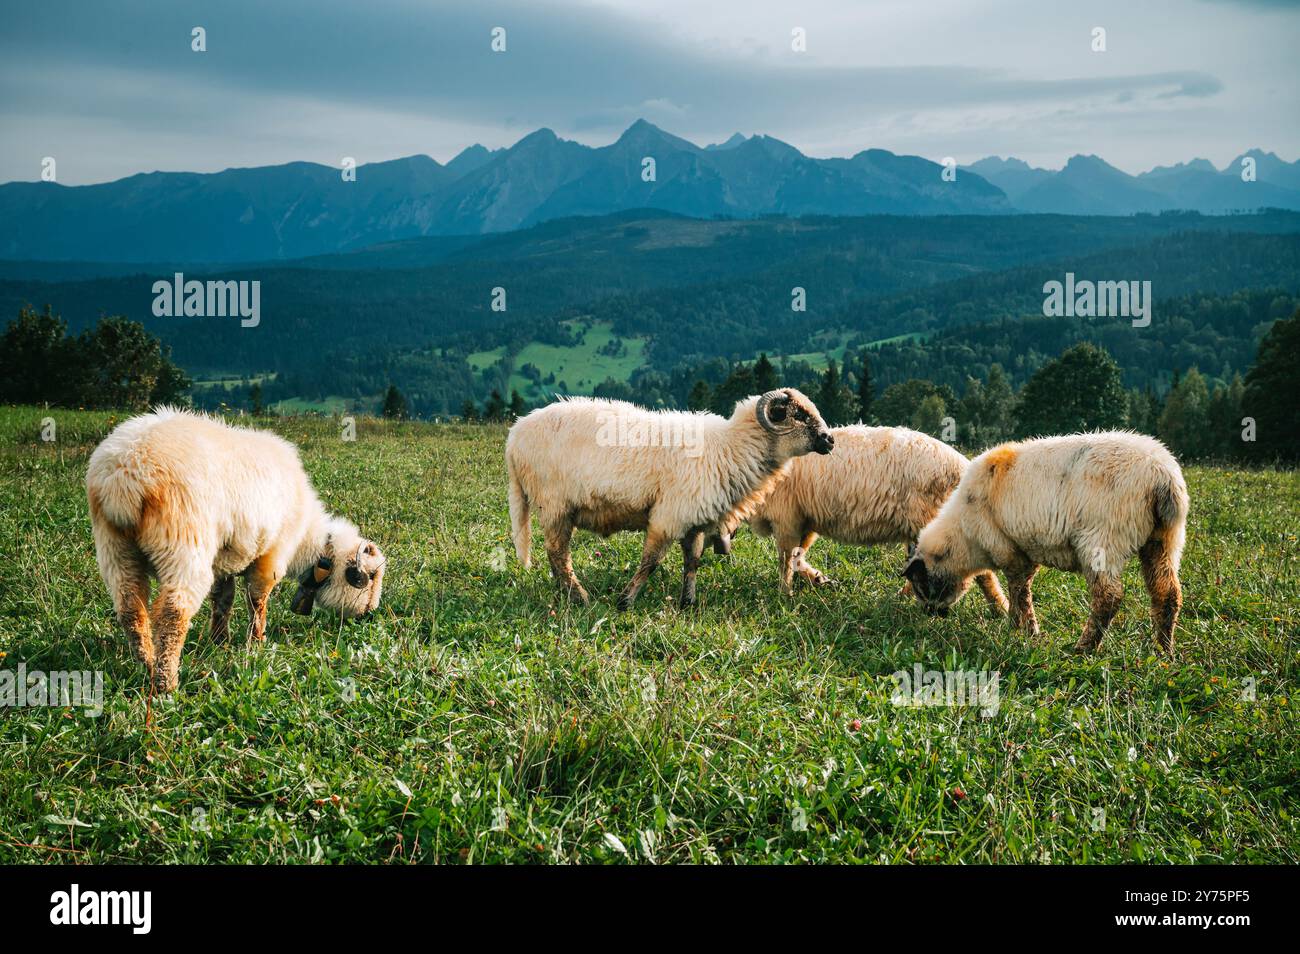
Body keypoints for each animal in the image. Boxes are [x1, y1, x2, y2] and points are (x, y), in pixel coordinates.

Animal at [87, 410, 384, 696]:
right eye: (367, 578)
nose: (369, 615)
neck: (309, 542)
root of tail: (126, 472)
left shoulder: (225, 559)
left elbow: (223, 599)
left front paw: (220, 641)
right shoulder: (271, 556)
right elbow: (258, 601)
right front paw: (256, 643)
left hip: (115, 548)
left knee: (130, 608)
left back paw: (147, 664)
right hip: (183, 545)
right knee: (174, 613)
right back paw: (165, 682)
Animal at [506, 389, 832, 608]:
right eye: (799, 414)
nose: (829, 440)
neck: (730, 448)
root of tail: (515, 434)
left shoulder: (695, 519)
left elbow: (692, 561)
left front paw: (688, 602)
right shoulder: (669, 515)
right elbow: (650, 562)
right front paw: (626, 601)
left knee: (555, 555)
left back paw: (566, 594)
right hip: (555, 504)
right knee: (558, 553)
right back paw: (579, 597)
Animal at [738, 428, 1008, 608]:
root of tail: (964, 467)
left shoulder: (787, 519)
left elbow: (786, 560)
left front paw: (784, 594)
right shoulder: (805, 518)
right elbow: (797, 556)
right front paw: (819, 579)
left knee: (981, 574)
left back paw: (1000, 610)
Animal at [904, 434, 1190, 655]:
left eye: (920, 584)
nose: (931, 615)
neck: (963, 537)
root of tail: (1162, 477)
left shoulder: (1007, 549)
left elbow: (1019, 591)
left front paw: (1022, 630)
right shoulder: (1025, 551)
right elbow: (1022, 589)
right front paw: (1021, 629)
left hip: (1102, 539)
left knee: (1108, 597)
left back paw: (1083, 649)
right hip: (1165, 539)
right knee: (1167, 593)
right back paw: (1163, 651)